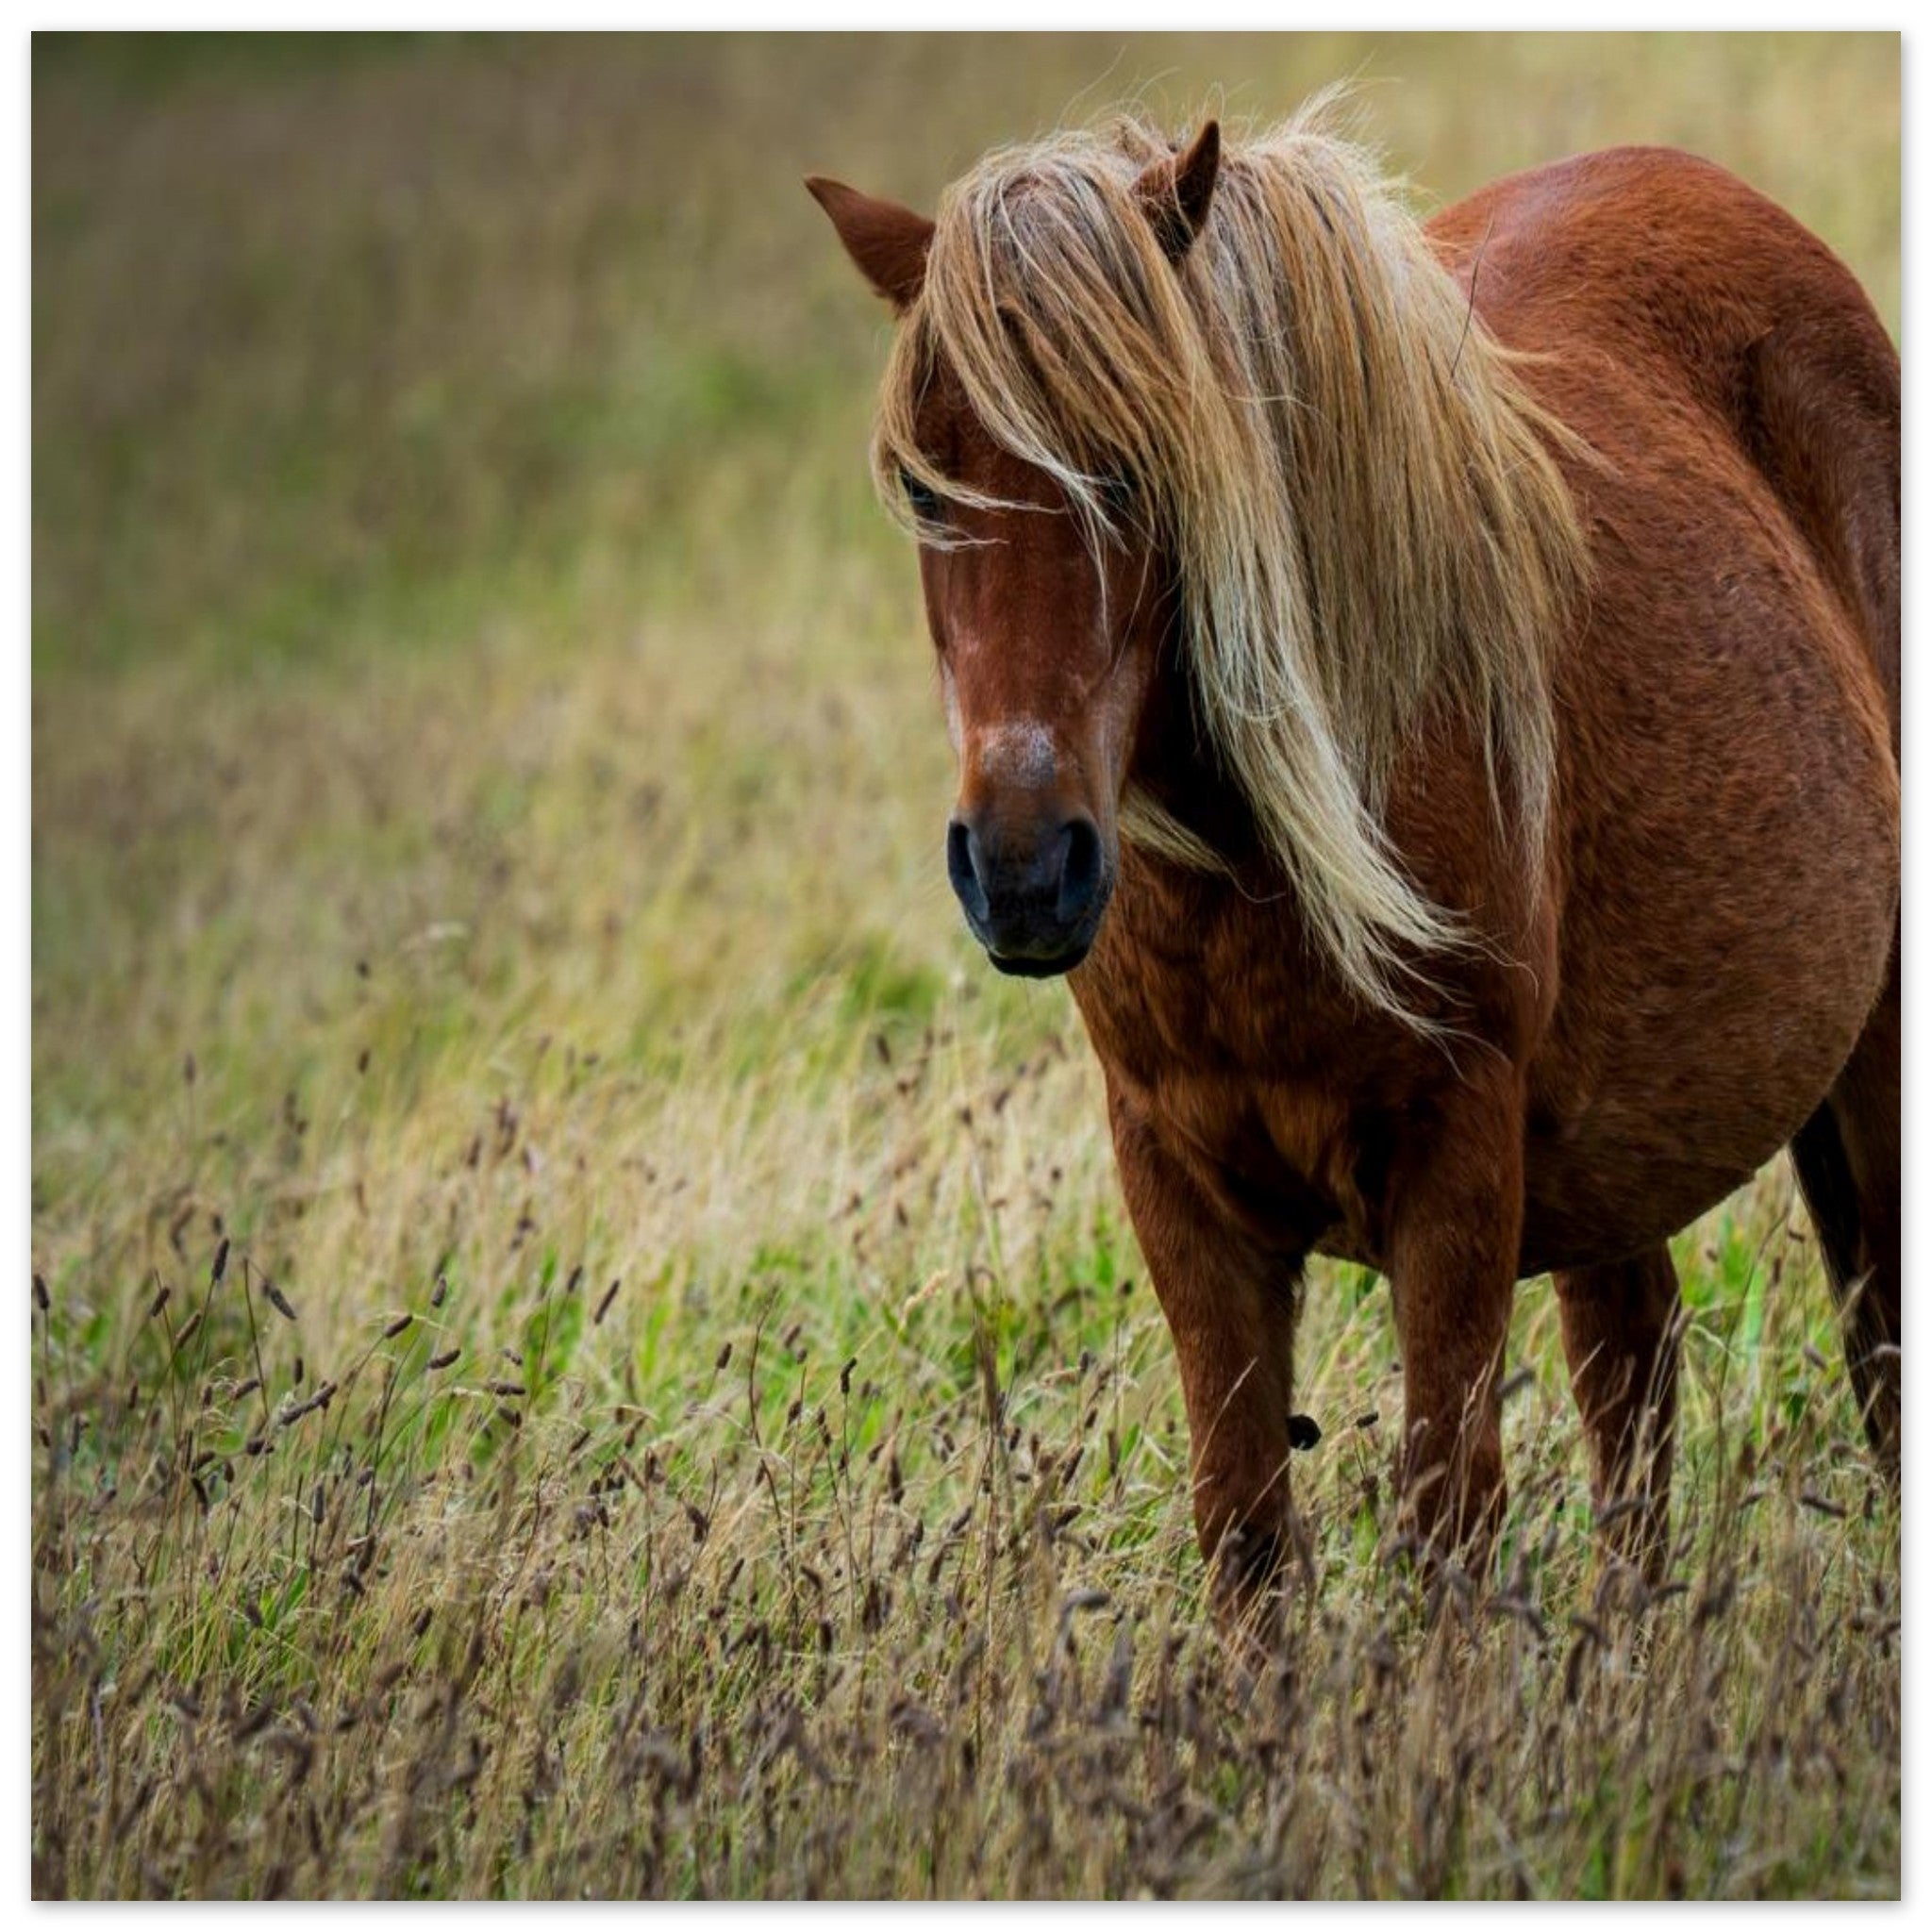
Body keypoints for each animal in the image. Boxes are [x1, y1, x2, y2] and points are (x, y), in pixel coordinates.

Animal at [807, 106, 1899, 1617]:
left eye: (1136, 468)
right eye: (924, 486)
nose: (1023, 868)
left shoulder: (1455, 1167)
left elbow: (1445, 1517)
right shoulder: (1178, 1183)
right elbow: (1247, 1529)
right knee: (1634, 1378)